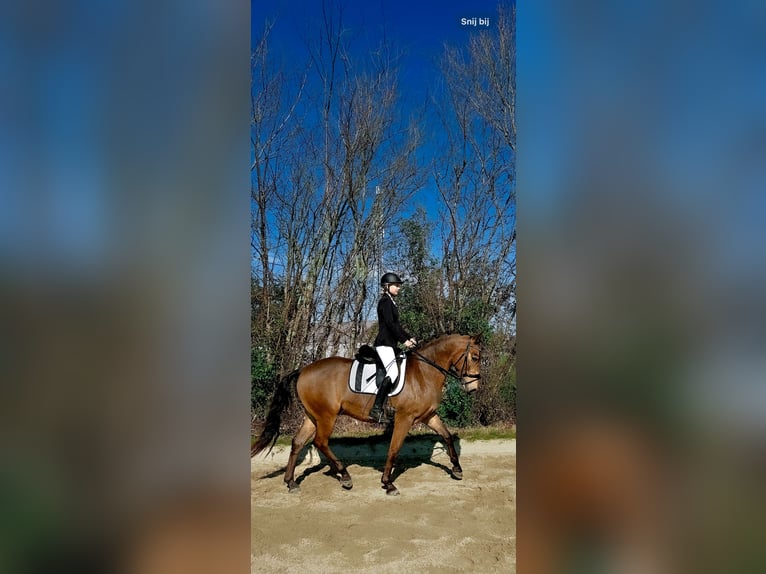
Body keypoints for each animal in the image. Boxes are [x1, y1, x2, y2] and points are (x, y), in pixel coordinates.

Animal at [252, 336, 480, 498]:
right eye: (475, 357)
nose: (474, 388)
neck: (424, 373)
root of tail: (303, 370)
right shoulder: (404, 418)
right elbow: (394, 449)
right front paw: (388, 483)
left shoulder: (428, 416)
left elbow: (446, 435)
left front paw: (457, 469)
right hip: (327, 416)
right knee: (320, 442)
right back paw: (345, 476)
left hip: (312, 416)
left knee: (298, 442)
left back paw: (291, 482)